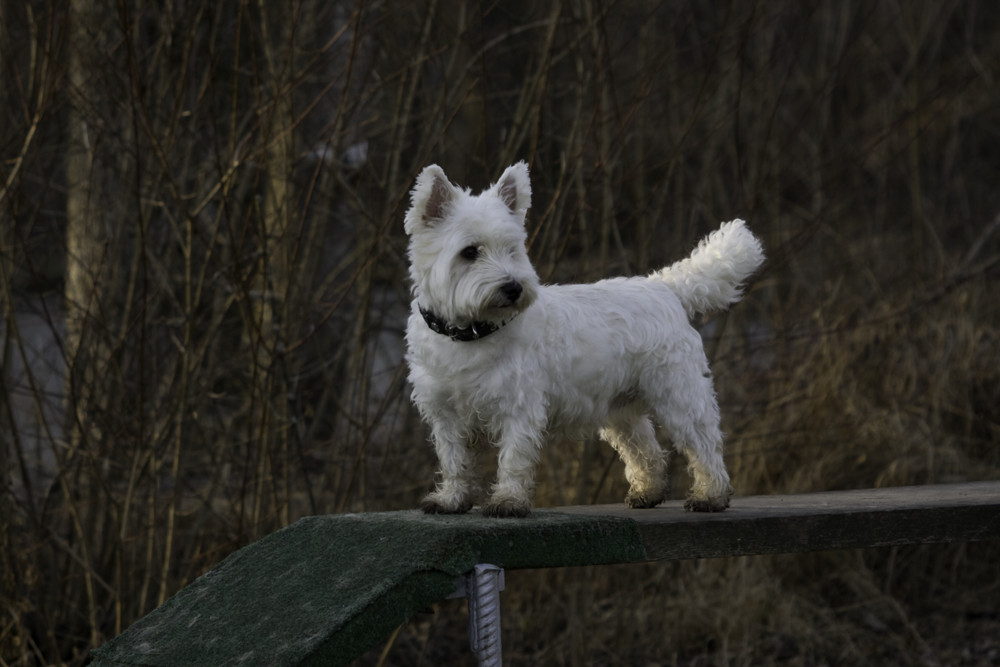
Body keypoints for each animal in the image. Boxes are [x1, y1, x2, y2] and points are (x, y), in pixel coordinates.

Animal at [402, 162, 760, 516]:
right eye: (469, 252)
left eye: (512, 250)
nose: (513, 288)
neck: (469, 335)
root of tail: (664, 286)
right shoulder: (445, 415)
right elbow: (455, 462)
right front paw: (451, 500)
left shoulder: (519, 406)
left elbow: (513, 459)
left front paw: (508, 501)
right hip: (622, 409)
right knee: (646, 449)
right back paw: (647, 492)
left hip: (679, 395)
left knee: (704, 444)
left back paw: (710, 496)